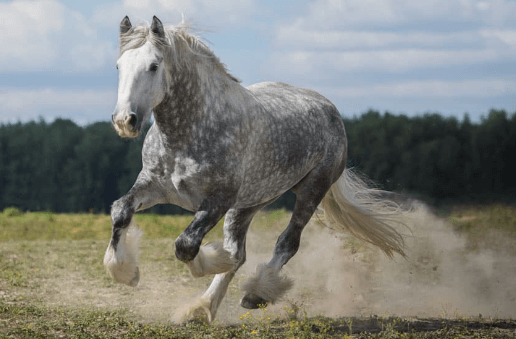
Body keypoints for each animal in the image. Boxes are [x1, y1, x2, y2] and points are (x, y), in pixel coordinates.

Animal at [103, 15, 406, 324]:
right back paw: (201, 308)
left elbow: (186, 245)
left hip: (311, 190)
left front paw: (213, 259)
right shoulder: (154, 185)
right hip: (249, 203)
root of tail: (329, 109)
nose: (124, 120)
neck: (190, 131)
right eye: (119, 66)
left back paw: (255, 294)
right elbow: (121, 211)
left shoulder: (218, 200)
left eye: (153, 66)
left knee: (287, 243)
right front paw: (126, 272)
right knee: (240, 252)